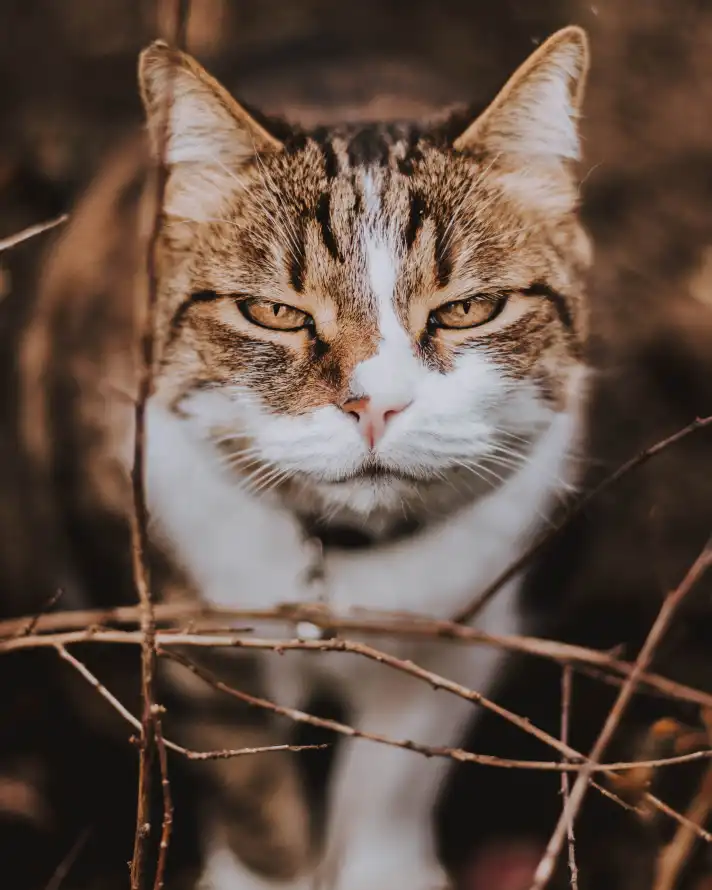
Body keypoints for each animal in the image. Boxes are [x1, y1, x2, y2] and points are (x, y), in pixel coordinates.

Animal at [19, 24, 592, 888]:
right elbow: (250, 782)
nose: (375, 405)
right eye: (274, 313)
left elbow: (394, 775)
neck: (342, 558)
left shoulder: (465, 631)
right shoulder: (191, 631)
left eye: (468, 309)